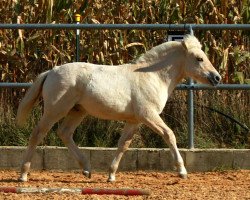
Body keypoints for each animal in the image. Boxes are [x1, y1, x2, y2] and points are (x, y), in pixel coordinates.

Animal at [16, 34, 221, 181]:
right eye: (199, 58)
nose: (217, 78)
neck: (153, 76)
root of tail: (51, 71)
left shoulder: (135, 121)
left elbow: (123, 145)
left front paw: (111, 175)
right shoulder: (148, 115)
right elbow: (169, 134)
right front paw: (182, 171)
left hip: (78, 111)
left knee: (64, 133)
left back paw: (87, 170)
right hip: (55, 110)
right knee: (38, 133)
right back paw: (23, 175)